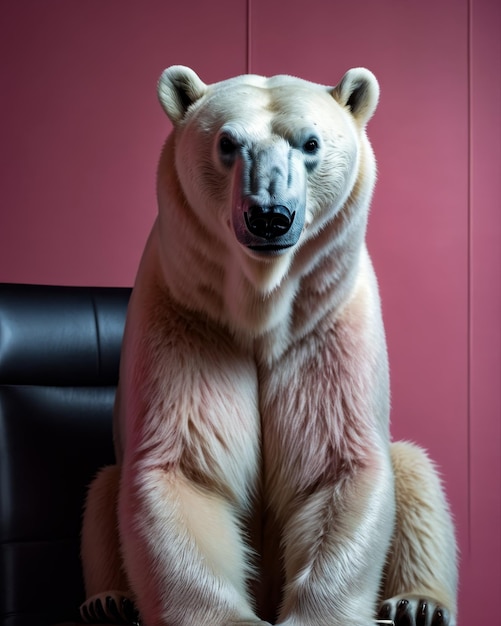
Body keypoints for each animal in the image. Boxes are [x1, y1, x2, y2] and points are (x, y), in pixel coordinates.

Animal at [81, 66, 458, 620]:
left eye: (311, 142)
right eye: (227, 142)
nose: (269, 215)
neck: (260, 309)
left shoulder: (325, 326)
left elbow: (337, 464)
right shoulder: (186, 318)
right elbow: (184, 467)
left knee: (414, 473)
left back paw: (419, 604)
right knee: (105, 490)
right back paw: (108, 600)